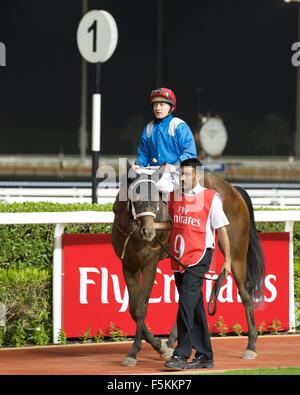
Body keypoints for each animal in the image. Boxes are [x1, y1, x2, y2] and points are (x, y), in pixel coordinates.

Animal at [112, 167, 264, 368]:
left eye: (156, 199)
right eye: (136, 197)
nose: (149, 232)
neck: (133, 232)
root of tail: (232, 189)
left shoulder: (149, 264)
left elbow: (141, 308)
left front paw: (134, 353)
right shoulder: (129, 265)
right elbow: (133, 309)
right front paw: (159, 346)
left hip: (236, 254)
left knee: (245, 295)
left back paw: (251, 346)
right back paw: (171, 343)